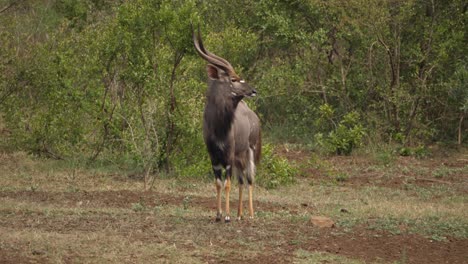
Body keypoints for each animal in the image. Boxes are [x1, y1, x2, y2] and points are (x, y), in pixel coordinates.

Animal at [193, 27, 262, 223]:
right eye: (233, 79)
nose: (253, 91)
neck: (219, 128)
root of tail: (255, 117)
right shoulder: (214, 156)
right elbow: (218, 183)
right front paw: (218, 215)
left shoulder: (229, 156)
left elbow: (227, 184)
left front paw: (227, 216)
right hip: (239, 157)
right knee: (241, 180)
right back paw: (239, 215)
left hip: (250, 151)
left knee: (249, 179)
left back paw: (250, 214)